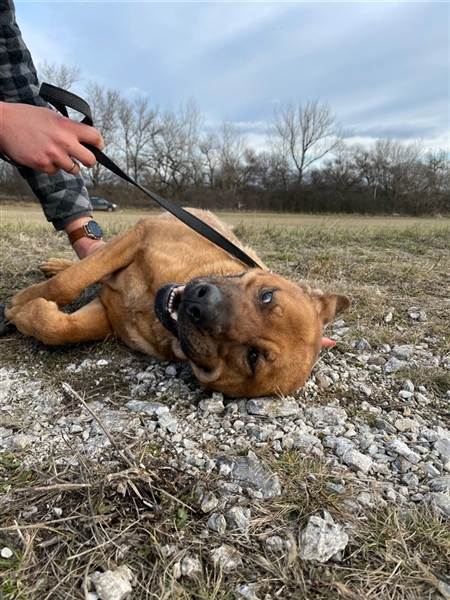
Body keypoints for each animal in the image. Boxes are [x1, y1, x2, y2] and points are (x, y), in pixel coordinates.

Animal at [2, 209, 350, 398]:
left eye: (252, 358)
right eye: (267, 295)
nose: (199, 304)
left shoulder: (107, 316)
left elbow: (58, 327)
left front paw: (23, 313)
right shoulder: (139, 236)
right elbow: (67, 283)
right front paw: (22, 300)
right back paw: (56, 265)